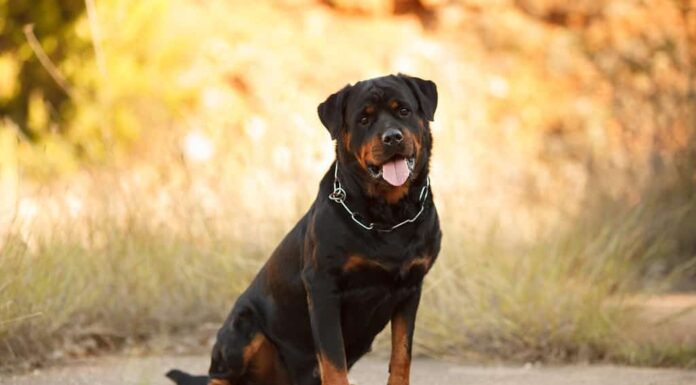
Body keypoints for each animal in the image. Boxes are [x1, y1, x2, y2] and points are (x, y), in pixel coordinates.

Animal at [166, 74, 440, 384]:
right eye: (364, 119)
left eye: (403, 110)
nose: (392, 137)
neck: (389, 215)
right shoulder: (322, 287)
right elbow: (334, 363)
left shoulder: (410, 288)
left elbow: (402, 355)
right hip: (243, 328)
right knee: (219, 374)